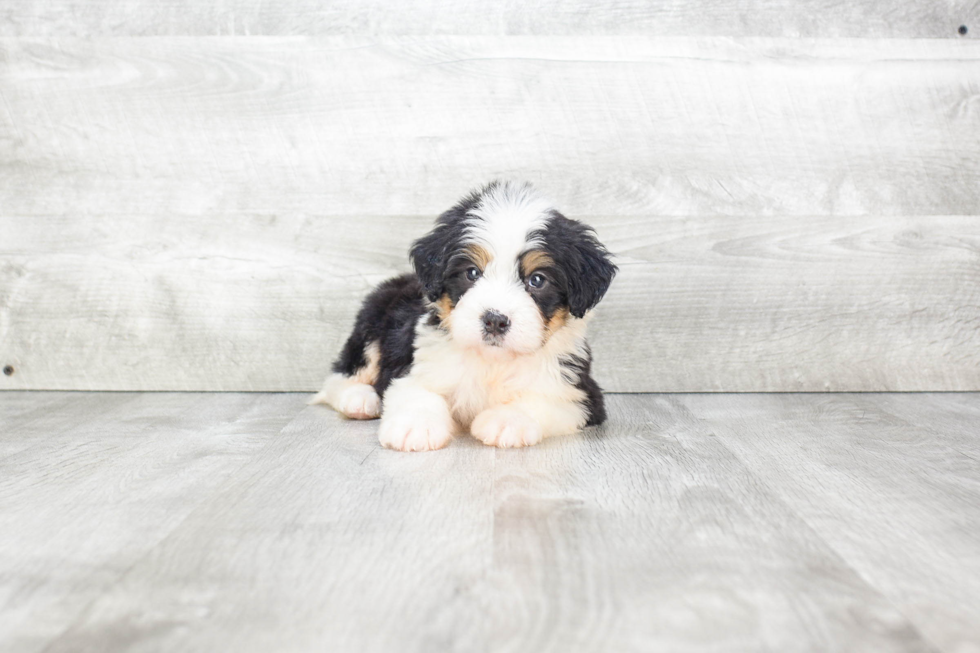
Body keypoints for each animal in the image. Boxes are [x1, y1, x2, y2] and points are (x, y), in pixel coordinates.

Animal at [310, 181, 616, 450]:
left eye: (537, 280)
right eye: (472, 273)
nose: (495, 320)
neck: (492, 362)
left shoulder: (580, 392)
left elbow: (542, 401)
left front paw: (508, 421)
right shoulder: (416, 361)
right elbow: (416, 390)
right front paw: (415, 426)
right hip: (372, 324)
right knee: (341, 375)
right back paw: (360, 399)